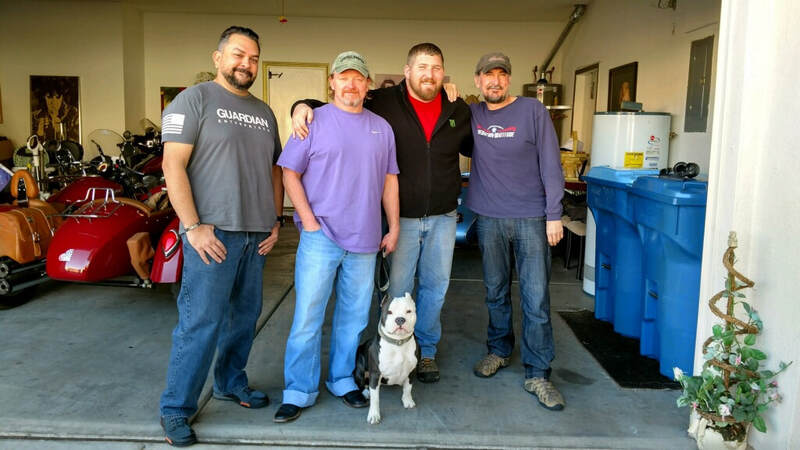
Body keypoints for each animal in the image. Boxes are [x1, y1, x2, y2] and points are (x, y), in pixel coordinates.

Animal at [354, 292, 417, 424]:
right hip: (360, 366)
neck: (398, 343)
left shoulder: (411, 371)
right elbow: (375, 398)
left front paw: (407, 400)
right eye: (389, 312)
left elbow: (408, 388)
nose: (400, 319)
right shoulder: (375, 374)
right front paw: (374, 415)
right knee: (360, 383)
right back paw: (365, 392)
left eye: (408, 311)